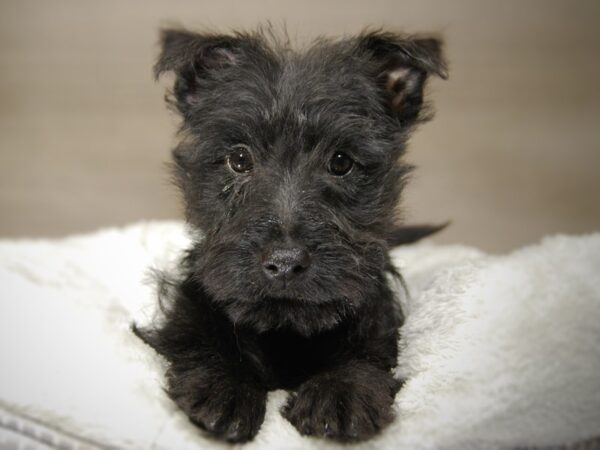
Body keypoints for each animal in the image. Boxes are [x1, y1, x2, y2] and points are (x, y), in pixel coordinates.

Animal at [135, 28, 446, 442]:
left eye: (341, 161)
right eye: (239, 159)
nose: (284, 263)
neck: (285, 328)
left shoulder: (377, 315)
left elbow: (369, 350)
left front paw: (340, 391)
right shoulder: (195, 298)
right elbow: (195, 331)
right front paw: (223, 385)